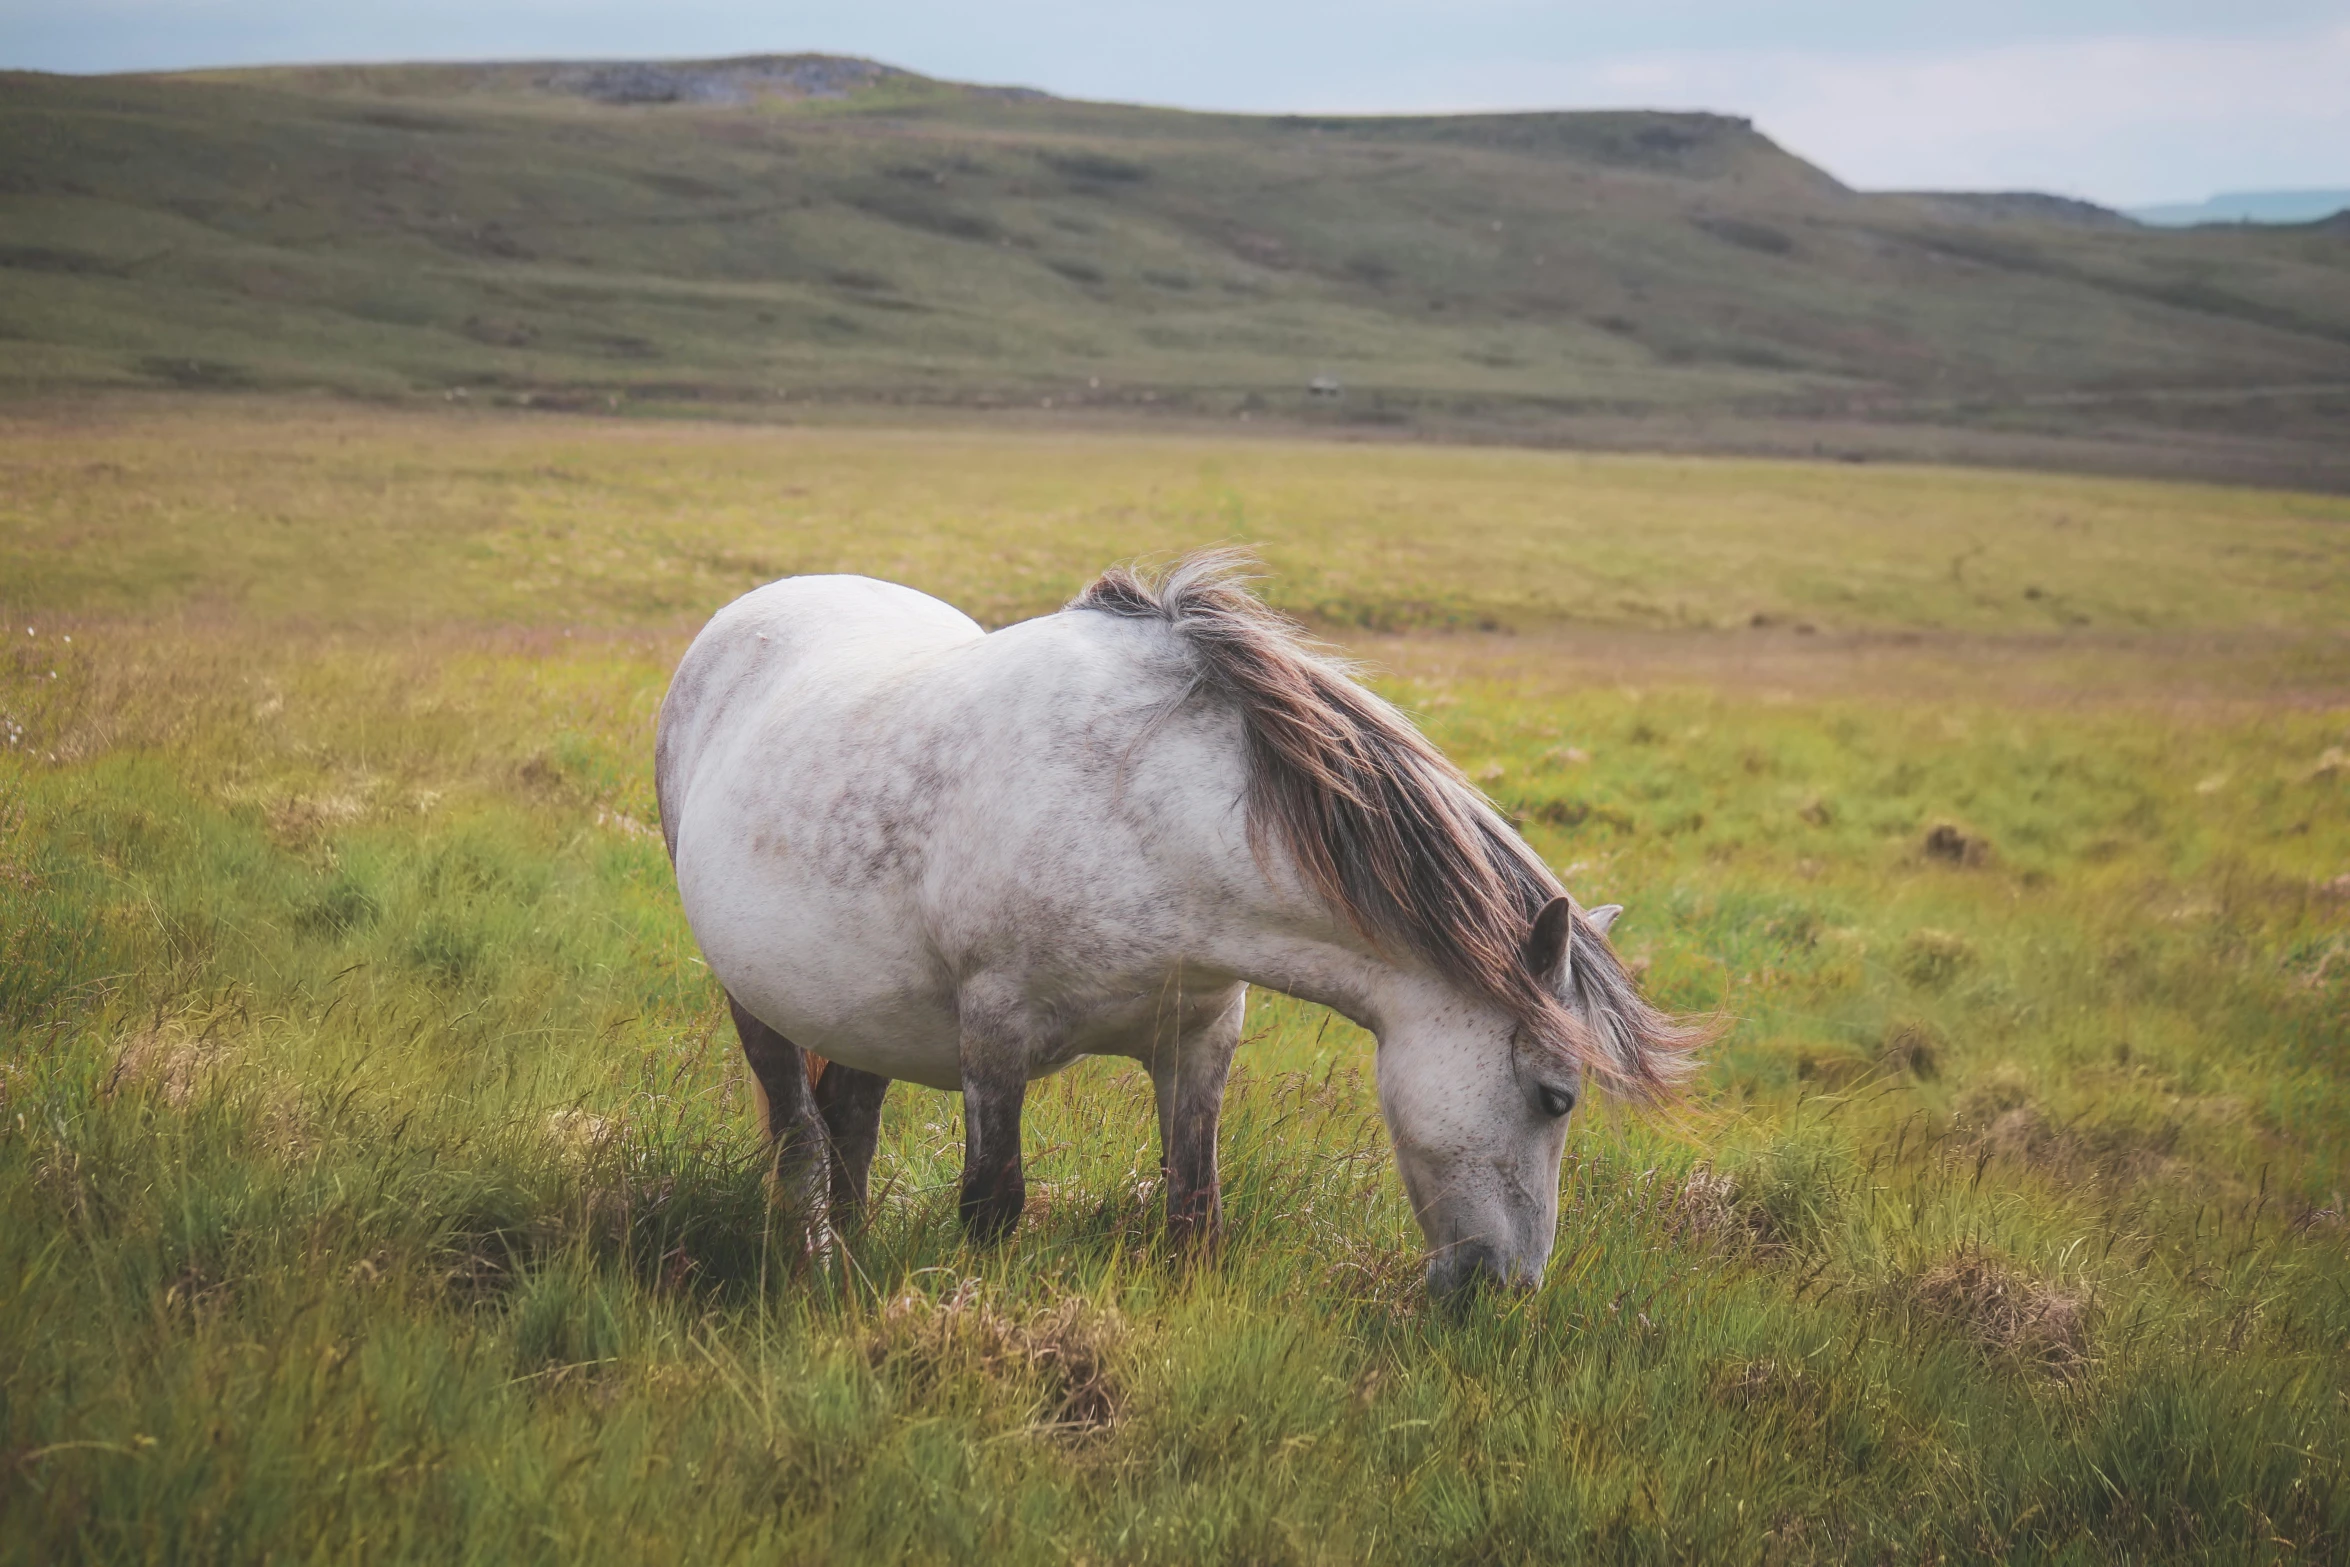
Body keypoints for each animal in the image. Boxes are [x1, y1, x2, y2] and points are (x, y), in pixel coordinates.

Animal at [658, 556, 1691, 1296]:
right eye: (1556, 1096)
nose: (1508, 1289)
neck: (1144, 809)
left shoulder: (1197, 1037)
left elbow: (1195, 1210)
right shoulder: (994, 1032)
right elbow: (993, 1202)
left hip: (860, 1013)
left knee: (851, 1123)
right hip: (755, 998)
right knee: (800, 1138)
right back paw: (821, 1267)